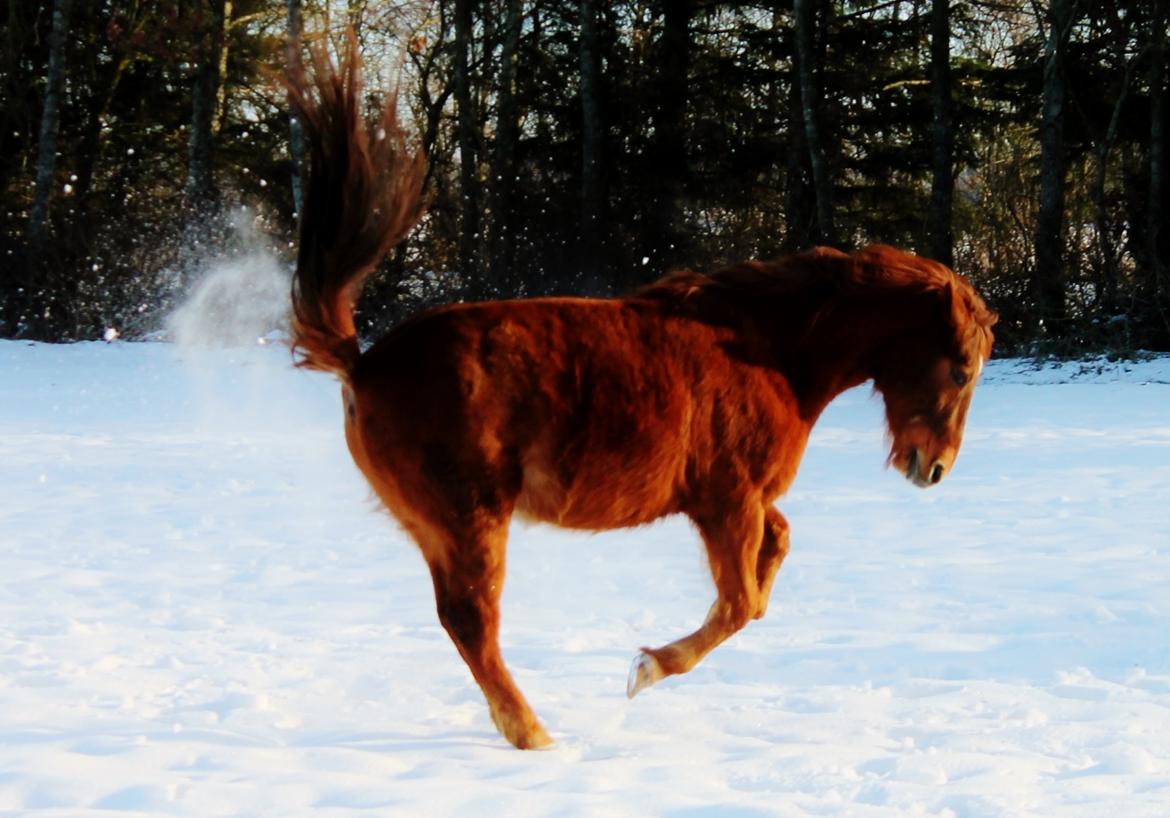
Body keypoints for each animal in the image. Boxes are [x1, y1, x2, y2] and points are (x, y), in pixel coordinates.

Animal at [283, 43, 996, 748]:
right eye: (962, 369)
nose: (933, 468)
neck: (770, 351)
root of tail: (363, 364)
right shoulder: (728, 502)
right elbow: (739, 603)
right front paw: (648, 668)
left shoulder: (745, 500)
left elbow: (772, 561)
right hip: (471, 521)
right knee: (470, 620)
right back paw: (532, 733)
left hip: (441, 528)